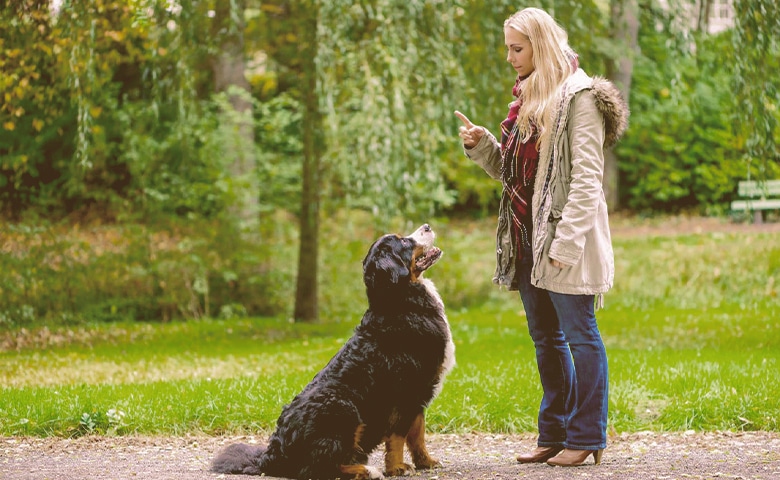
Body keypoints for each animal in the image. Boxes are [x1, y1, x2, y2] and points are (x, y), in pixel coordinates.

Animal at [212, 225, 458, 480]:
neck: (400, 300)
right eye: (403, 242)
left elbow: (418, 434)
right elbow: (399, 436)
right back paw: (366, 470)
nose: (427, 226)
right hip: (343, 409)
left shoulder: (420, 393)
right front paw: (397, 467)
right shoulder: (407, 392)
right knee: (319, 468)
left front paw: (426, 462)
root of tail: (272, 455)